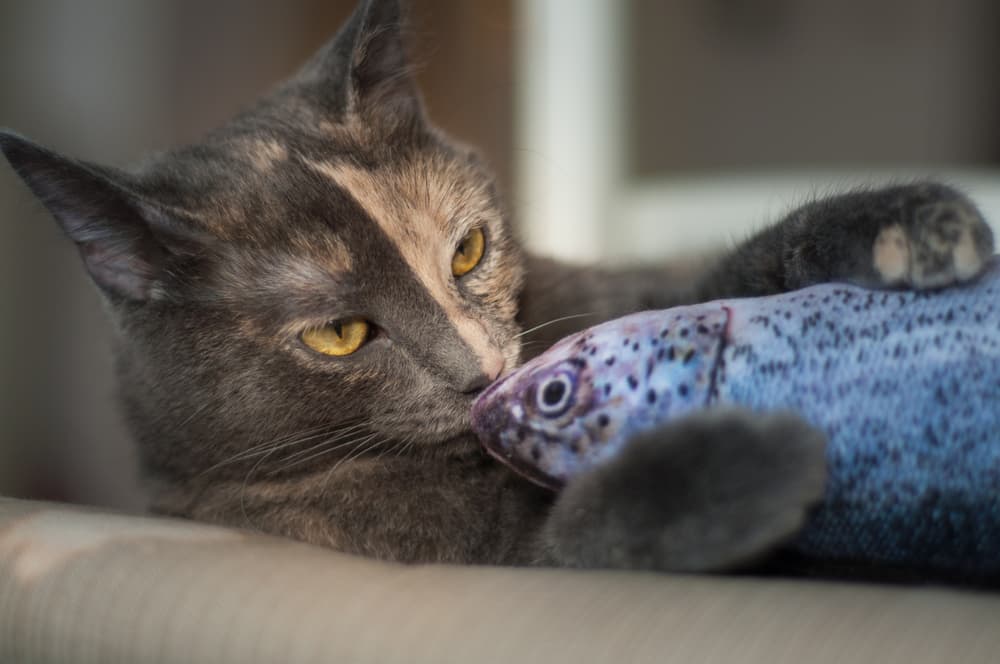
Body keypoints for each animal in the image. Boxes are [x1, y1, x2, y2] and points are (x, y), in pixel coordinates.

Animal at [0, 0, 992, 572]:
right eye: (339, 335)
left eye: (469, 251)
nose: (482, 372)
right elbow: (577, 540)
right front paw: (749, 461)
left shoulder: (621, 296)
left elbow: (713, 275)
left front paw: (906, 227)